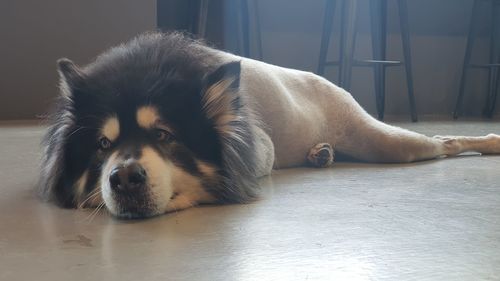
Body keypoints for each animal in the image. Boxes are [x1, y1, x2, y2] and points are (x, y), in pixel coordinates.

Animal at [39, 31, 500, 219]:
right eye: (102, 145)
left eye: (165, 136)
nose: (124, 178)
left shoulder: (261, 146)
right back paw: (320, 154)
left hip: (386, 142)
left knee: (444, 140)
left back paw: (488, 140)